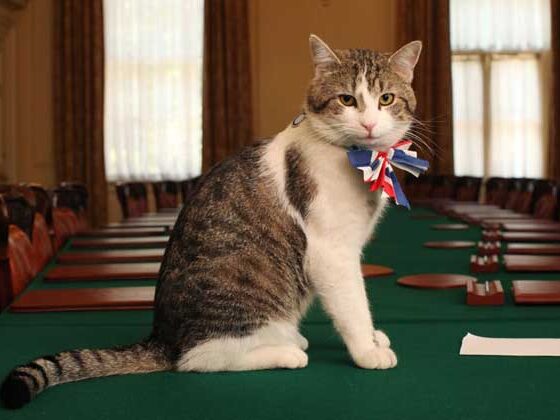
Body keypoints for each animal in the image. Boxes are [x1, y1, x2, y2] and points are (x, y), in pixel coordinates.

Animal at [0, 34, 420, 408]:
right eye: (347, 100)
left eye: (386, 99)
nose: (369, 124)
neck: (359, 159)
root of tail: (162, 337)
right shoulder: (332, 252)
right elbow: (354, 305)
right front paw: (367, 350)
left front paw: (373, 340)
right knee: (197, 360)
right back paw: (285, 351)